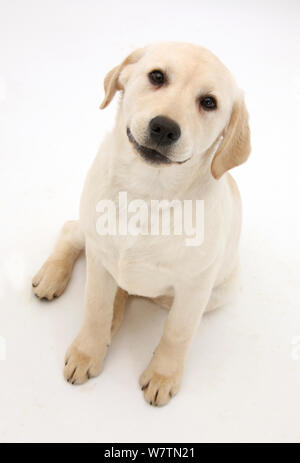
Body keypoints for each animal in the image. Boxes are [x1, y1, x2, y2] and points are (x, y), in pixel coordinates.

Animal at [32, 42, 251, 406]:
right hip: (94, 236)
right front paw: (87, 351)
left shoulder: (195, 286)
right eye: (157, 77)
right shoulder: (100, 259)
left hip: (221, 288)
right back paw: (53, 277)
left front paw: (163, 374)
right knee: (72, 230)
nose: (164, 127)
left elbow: (177, 331)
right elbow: (95, 308)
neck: (146, 193)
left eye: (209, 102)